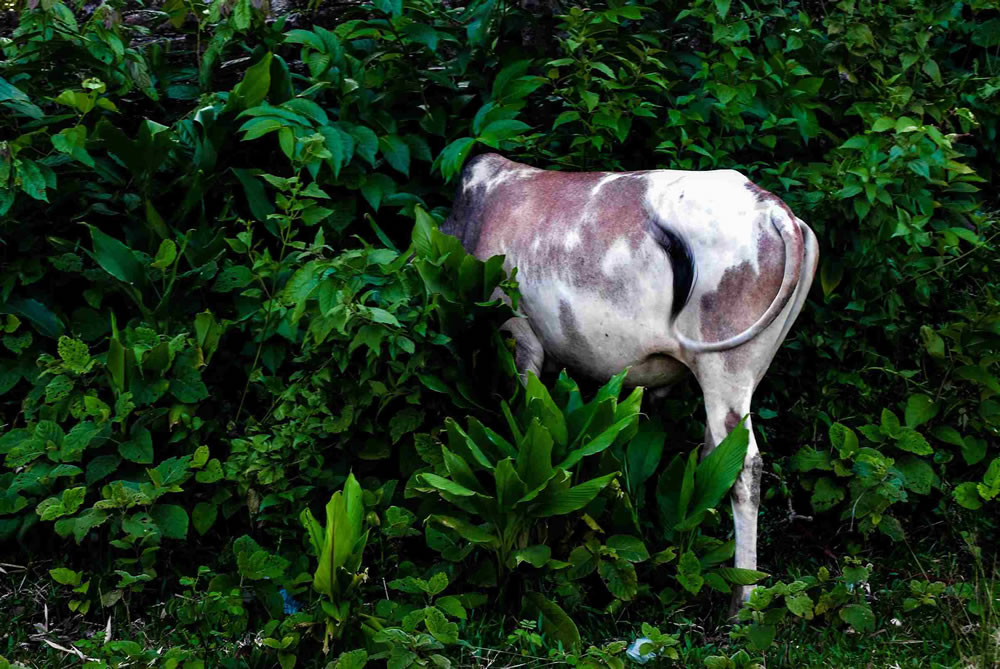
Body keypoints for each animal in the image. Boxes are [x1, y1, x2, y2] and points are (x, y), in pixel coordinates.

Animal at [442, 151, 816, 604]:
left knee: (745, 467)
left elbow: (525, 420)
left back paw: (743, 601)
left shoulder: (520, 335)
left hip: (726, 369)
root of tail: (770, 207)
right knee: (716, 454)